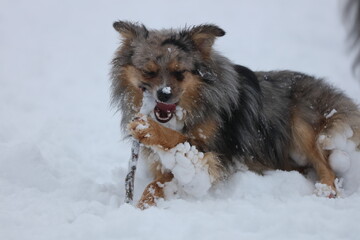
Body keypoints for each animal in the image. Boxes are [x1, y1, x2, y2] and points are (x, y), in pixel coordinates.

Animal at [111, 20, 360, 208]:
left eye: (179, 72)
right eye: (148, 72)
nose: (164, 94)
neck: (188, 111)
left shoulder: (216, 152)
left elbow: (181, 140)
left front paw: (149, 129)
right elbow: (157, 183)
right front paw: (143, 204)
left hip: (301, 122)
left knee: (326, 165)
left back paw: (325, 189)